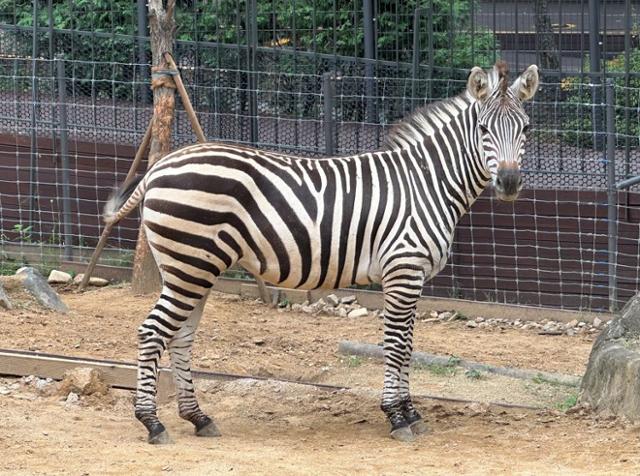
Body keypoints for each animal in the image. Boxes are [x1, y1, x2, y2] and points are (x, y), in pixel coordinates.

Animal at [105, 61, 540, 444]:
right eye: (483, 128)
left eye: (526, 128)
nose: (509, 182)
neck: (426, 184)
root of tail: (159, 166)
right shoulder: (402, 270)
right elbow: (397, 344)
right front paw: (397, 416)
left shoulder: (411, 277)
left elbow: (409, 344)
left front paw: (411, 412)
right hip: (190, 265)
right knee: (152, 331)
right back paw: (152, 423)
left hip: (190, 268)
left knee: (180, 336)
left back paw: (197, 417)